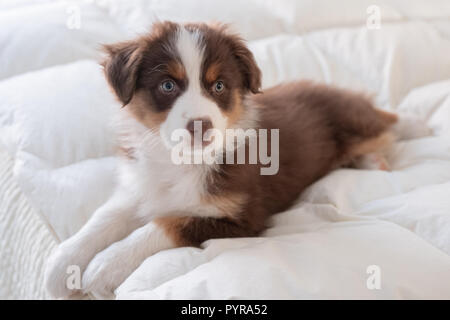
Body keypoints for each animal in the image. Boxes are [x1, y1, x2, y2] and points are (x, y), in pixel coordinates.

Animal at [44, 21, 402, 298]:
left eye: (218, 86)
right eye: (167, 85)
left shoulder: (242, 217)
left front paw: (107, 264)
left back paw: (375, 158)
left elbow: (167, 223)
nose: (200, 125)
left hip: (355, 123)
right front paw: (63, 263)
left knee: (391, 129)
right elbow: (105, 216)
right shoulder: (141, 185)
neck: (181, 162)